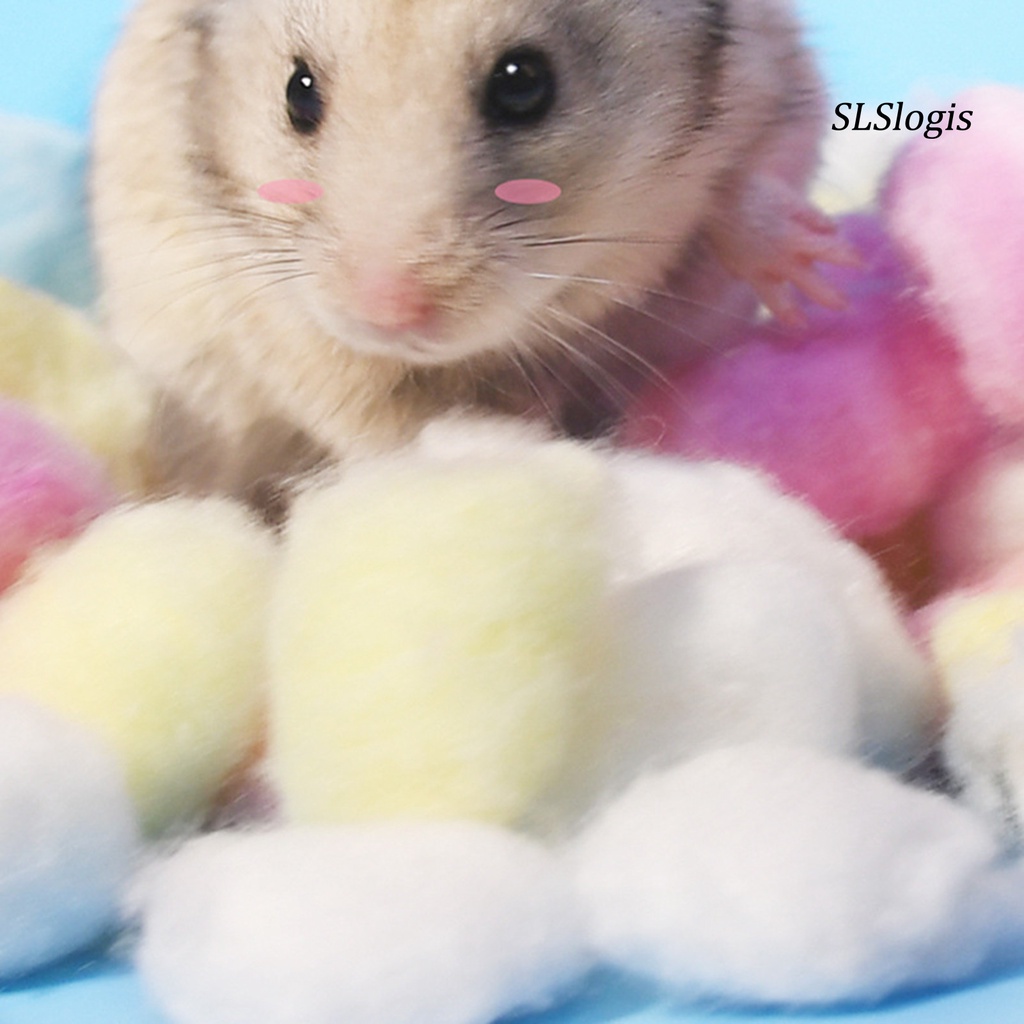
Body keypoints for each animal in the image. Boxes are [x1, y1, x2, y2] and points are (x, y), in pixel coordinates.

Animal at [91, 0, 850, 501]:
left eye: (524, 82)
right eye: (297, 92)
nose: (386, 314)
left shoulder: (777, 81)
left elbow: (749, 182)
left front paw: (822, 275)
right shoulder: (281, 316)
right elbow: (377, 420)